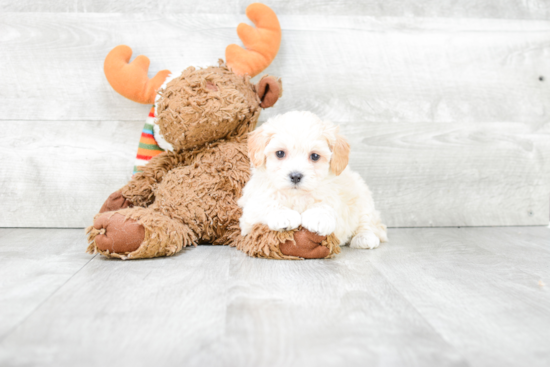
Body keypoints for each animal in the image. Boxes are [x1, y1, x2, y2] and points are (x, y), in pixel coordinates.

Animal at [239, 110, 390, 249]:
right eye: (280, 153)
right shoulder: (250, 212)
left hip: (363, 198)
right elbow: (265, 204)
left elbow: (325, 205)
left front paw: (318, 217)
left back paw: (365, 237)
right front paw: (283, 215)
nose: (295, 176)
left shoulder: (336, 203)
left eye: (315, 156)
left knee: (369, 223)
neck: (297, 196)